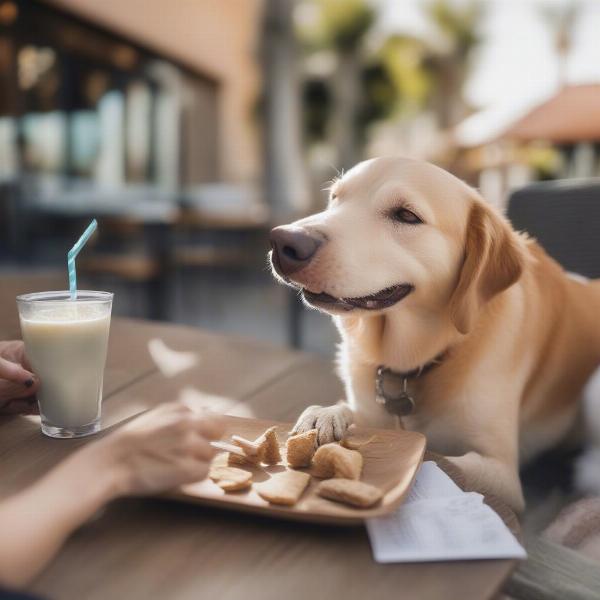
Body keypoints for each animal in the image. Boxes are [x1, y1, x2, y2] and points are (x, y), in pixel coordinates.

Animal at [270, 157, 600, 512]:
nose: (284, 242)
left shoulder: (502, 475)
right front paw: (324, 416)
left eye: (406, 215)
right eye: (335, 198)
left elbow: (433, 453)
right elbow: (351, 411)